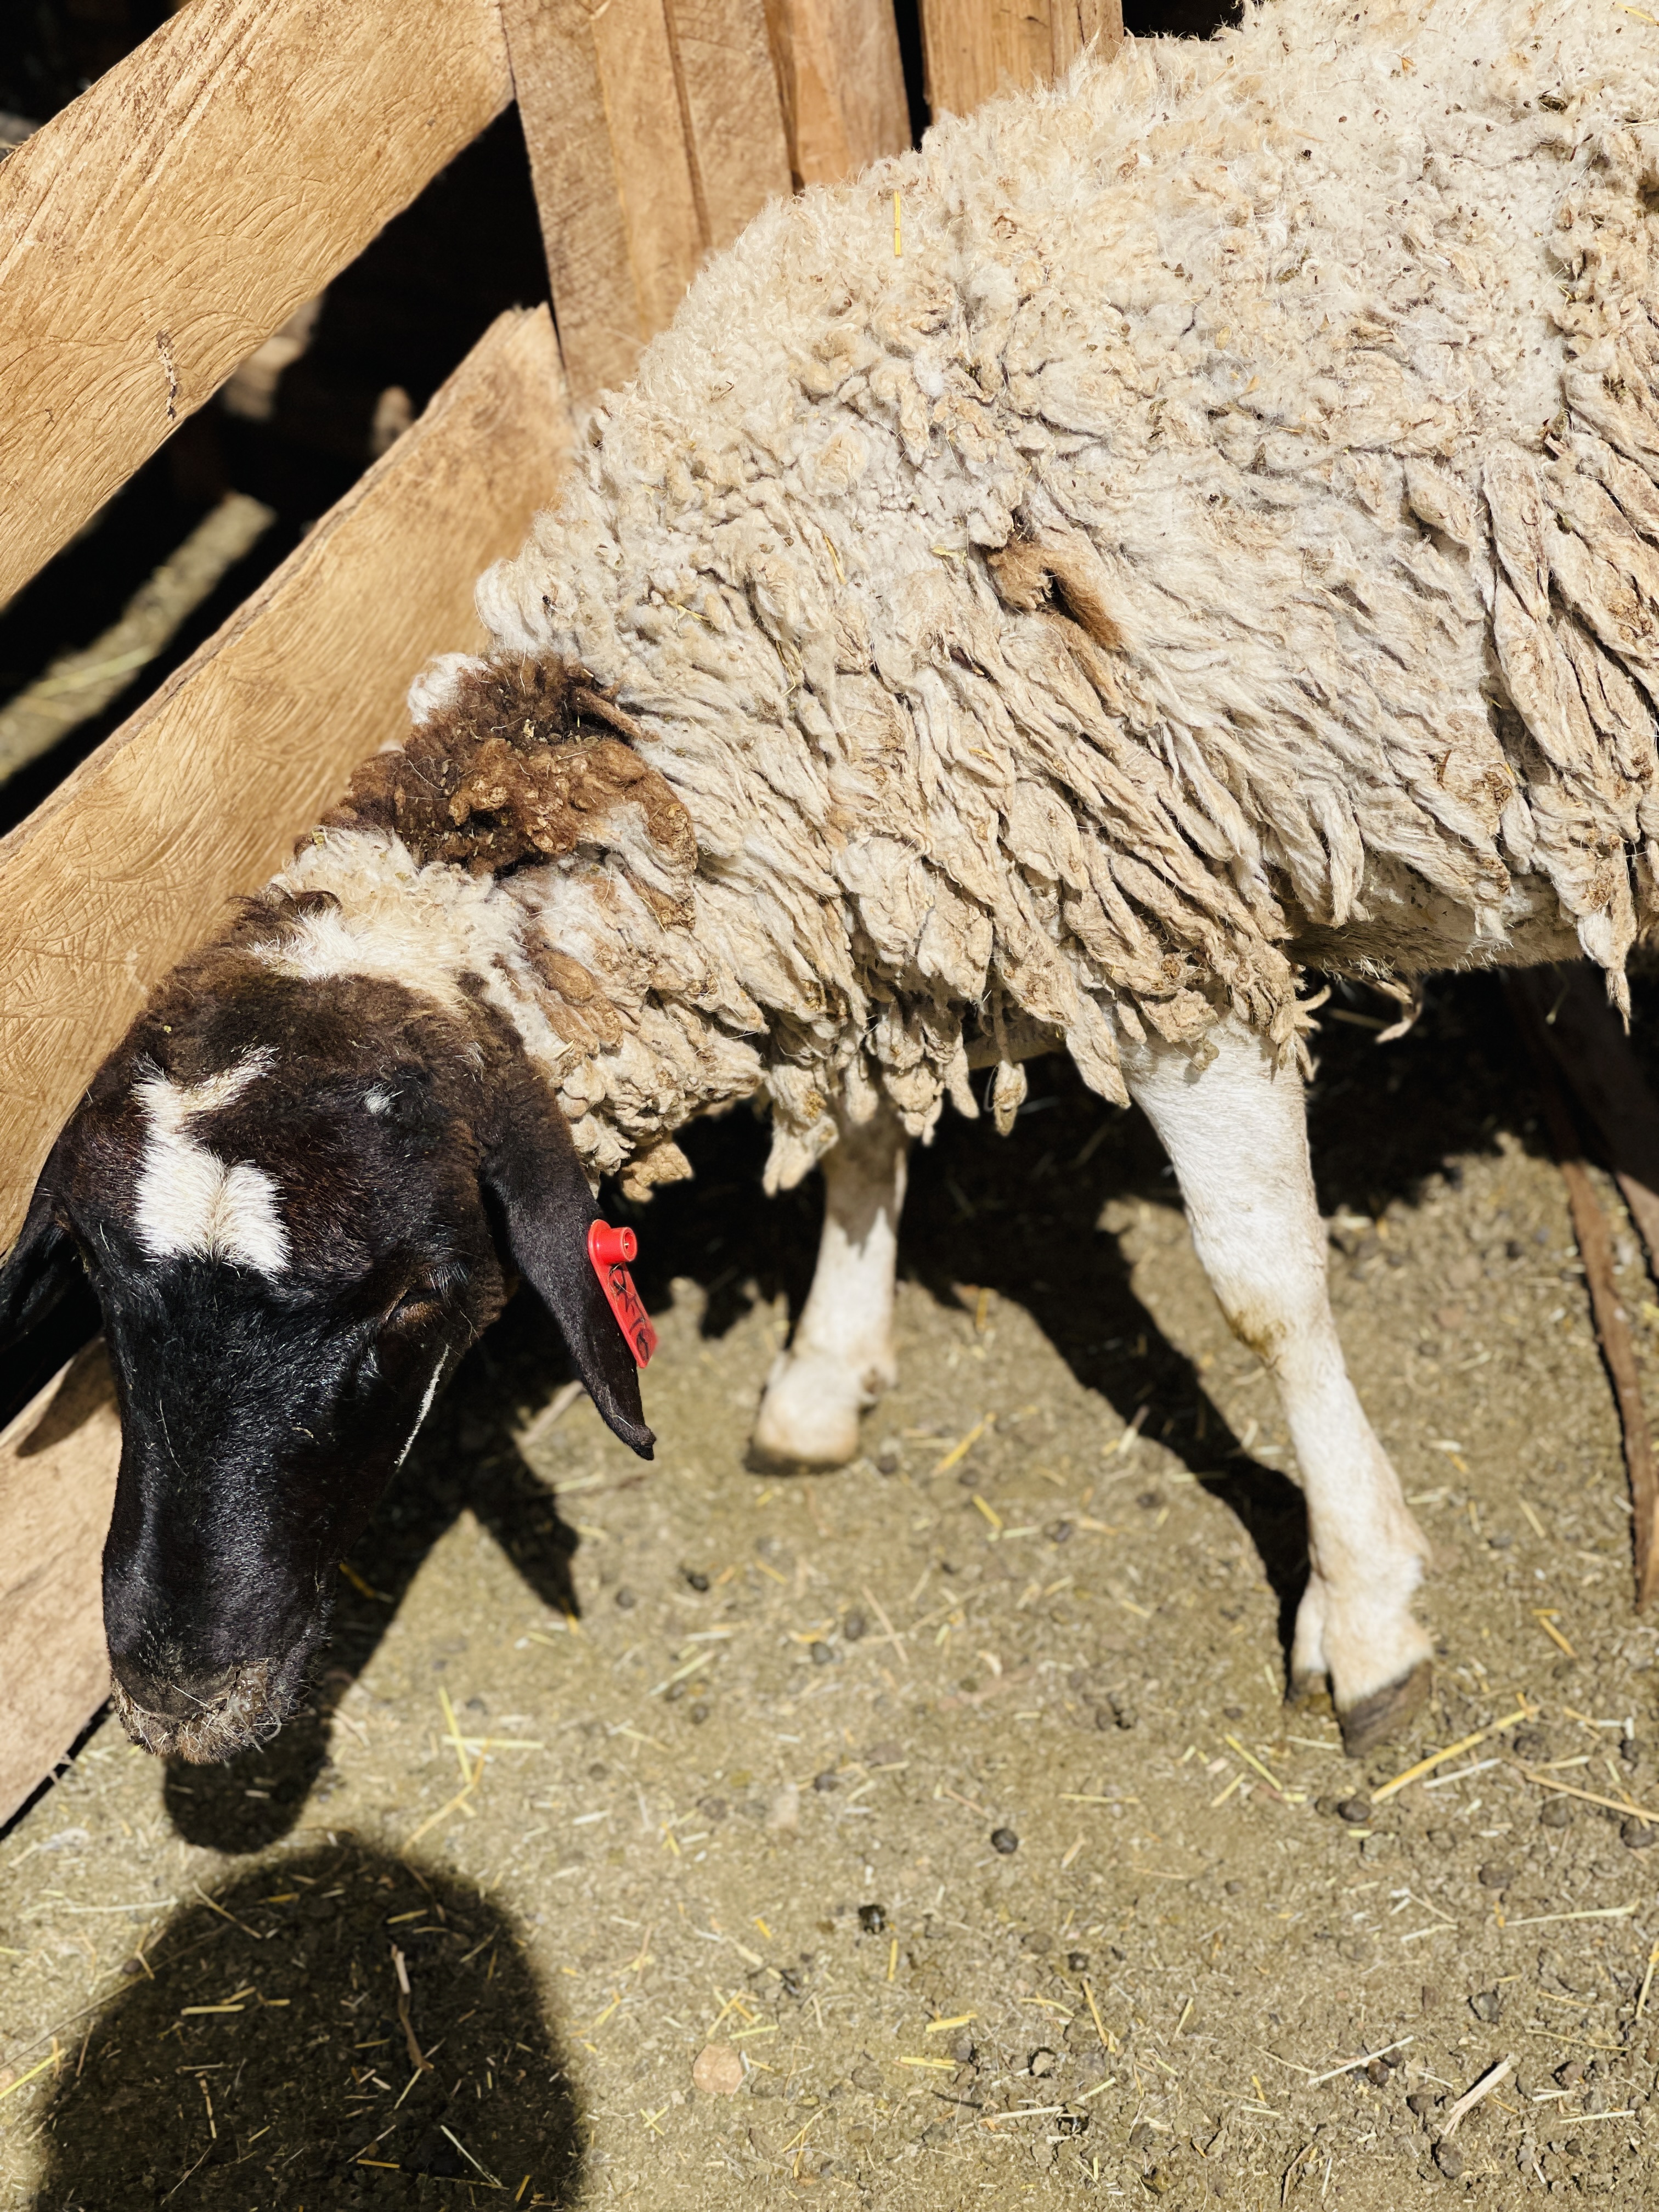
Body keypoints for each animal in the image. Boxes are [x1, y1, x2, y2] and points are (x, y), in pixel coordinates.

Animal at [5, 0, 1658, 1766]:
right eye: (105, 1298)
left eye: (409, 1308)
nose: (178, 1703)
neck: (688, 698)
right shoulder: (880, 886)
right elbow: (864, 1126)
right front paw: (825, 1367)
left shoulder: (1155, 918)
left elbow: (1262, 1292)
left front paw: (1363, 1607)